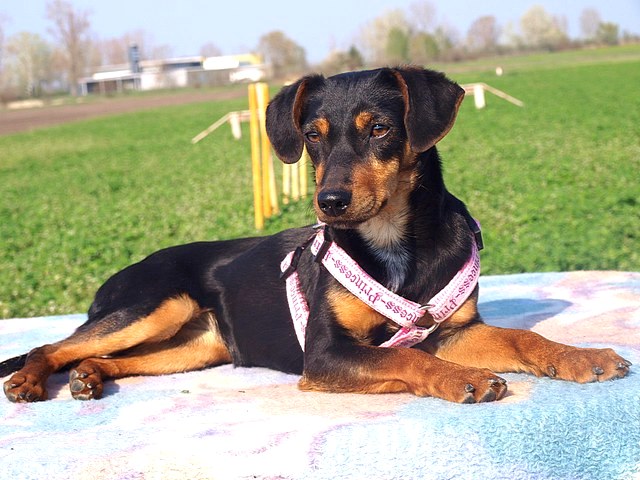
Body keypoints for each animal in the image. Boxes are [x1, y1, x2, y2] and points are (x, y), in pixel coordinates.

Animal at [1, 66, 631, 404]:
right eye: (311, 136)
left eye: (380, 129)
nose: (329, 203)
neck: (391, 241)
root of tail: (113, 280)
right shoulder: (326, 354)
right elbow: (405, 363)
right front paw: (463, 379)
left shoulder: (451, 329)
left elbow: (524, 339)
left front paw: (584, 358)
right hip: (153, 306)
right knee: (52, 346)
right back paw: (31, 381)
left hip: (194, 345)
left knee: (105, 358)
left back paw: (89, 378)